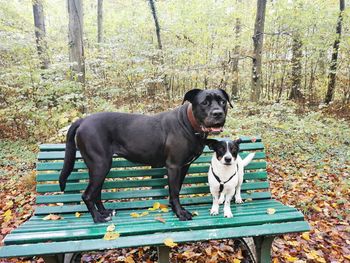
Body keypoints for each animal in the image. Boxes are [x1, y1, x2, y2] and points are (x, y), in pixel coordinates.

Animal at [59, 88, 232, 223]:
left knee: (96, 193)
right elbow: (174, 191)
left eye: (222, 101)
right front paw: (180, 213)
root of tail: (82, 120)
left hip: (99, 167)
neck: (190, 124)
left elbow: (176, 189)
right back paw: (97, 218)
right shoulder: (174, 166)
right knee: (87, 195)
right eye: (205, 103)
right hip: (100, 165)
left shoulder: (184, 166)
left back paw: (104, 212)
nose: (218, 113)